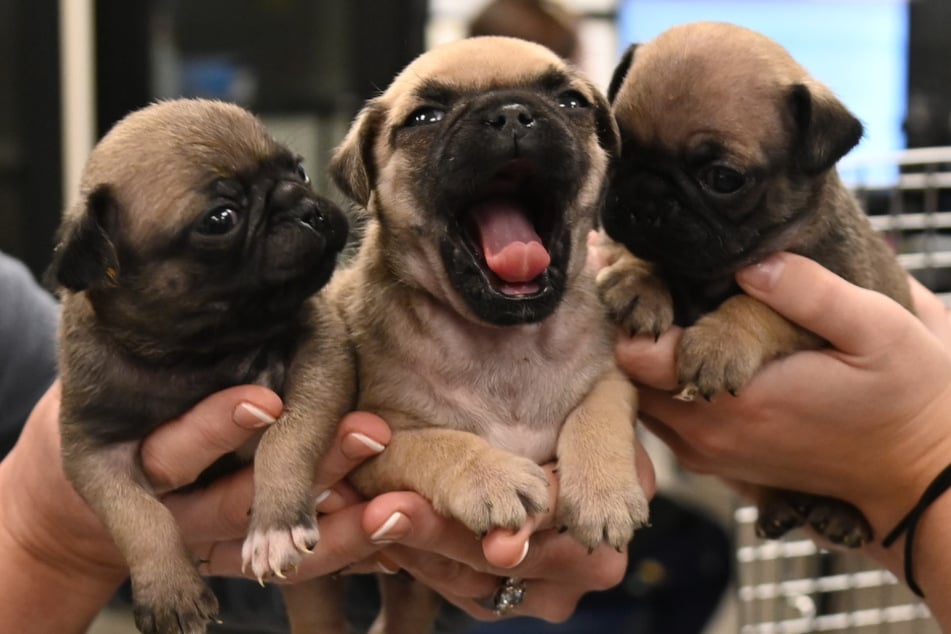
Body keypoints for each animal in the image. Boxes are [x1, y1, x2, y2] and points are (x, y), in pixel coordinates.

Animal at [49, 99, 354, 632]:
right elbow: (137, 516)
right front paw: (169, 590)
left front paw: (275, 524)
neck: (195, 351)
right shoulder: (94, 452)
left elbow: (286, 438)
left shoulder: (320, 358)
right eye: (220, 219)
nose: (308, 208)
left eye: (299, 170)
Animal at [330, 37, 656, 628]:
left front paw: (604, 491)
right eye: (425, 118)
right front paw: (492, 477)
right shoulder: (373, 445)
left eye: (572, 101)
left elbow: (596, 414)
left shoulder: (612, 381)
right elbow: (434, 444)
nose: (511, 113)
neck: (507, 344)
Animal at [596, 19, 916, 544]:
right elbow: (641, 255)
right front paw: (638, 280)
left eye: (723, 179)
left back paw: (841, 516)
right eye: (615, 150)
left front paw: (721, 342)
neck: (709, 276)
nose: (643, 198)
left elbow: (760, 307)